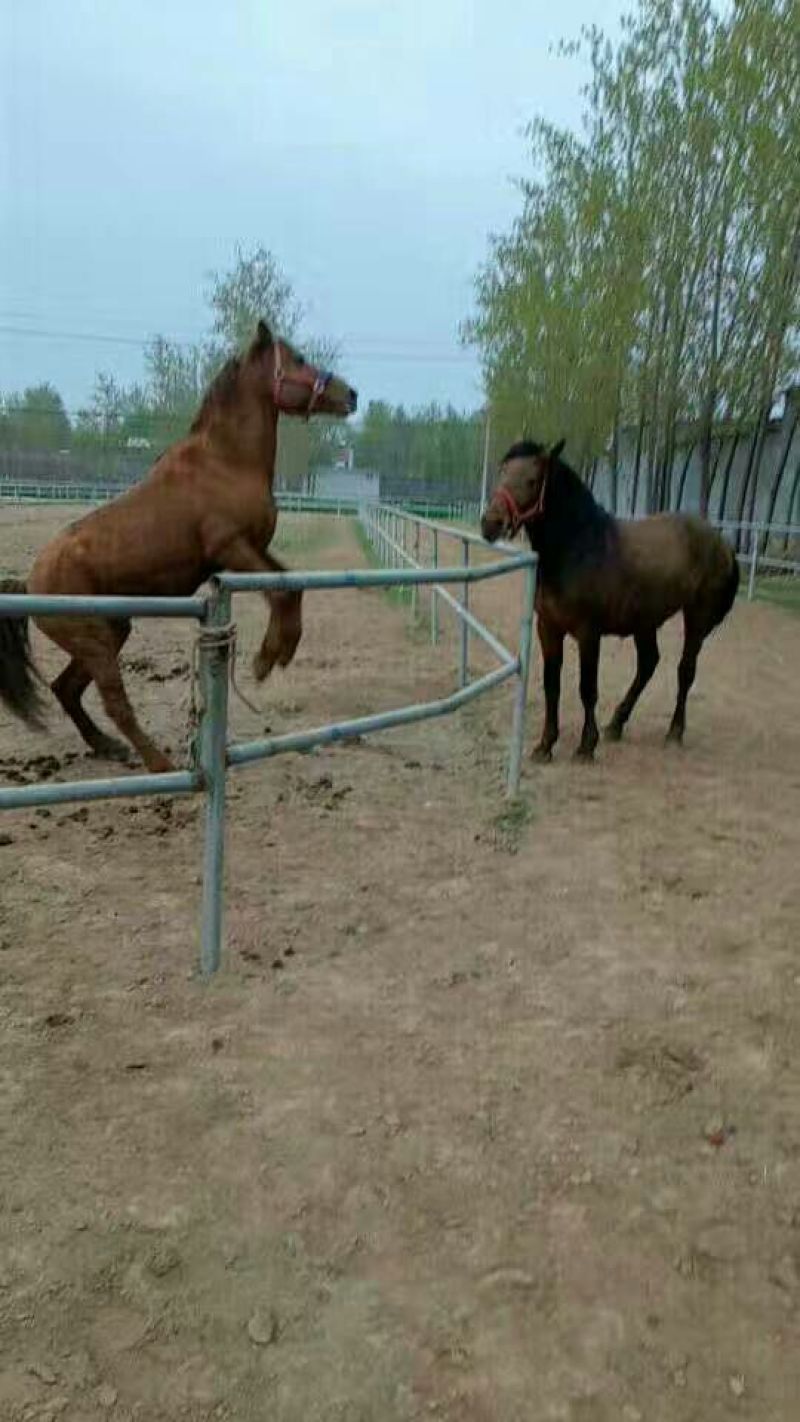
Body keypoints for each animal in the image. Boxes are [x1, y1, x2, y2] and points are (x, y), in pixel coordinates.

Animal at [0, 320, 357, 772]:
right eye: (298, 358)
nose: (350, 394)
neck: (225, 462)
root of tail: (30, 583)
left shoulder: (253, 549)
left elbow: (293, 585)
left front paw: (280, 652)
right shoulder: (231, 549)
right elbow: (280, 592)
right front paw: (265, 659)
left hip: (111, 631)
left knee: (66, 688)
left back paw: (108, 747)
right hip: (96, 643)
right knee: (114, 703)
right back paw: (158, 764)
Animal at [481, 440, 739, 761]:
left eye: (531, 480)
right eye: (502, 472)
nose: (490, 524)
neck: (578, 548)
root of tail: (721, 542)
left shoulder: (588, 633)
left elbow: (587, 688)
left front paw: (585, 746)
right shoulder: (548, 628)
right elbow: (552, 685)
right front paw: (545, 746)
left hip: (696, 617)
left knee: (685, 670)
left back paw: (674, 733)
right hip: (646, 621)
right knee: (648, 664)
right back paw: (616, 724)